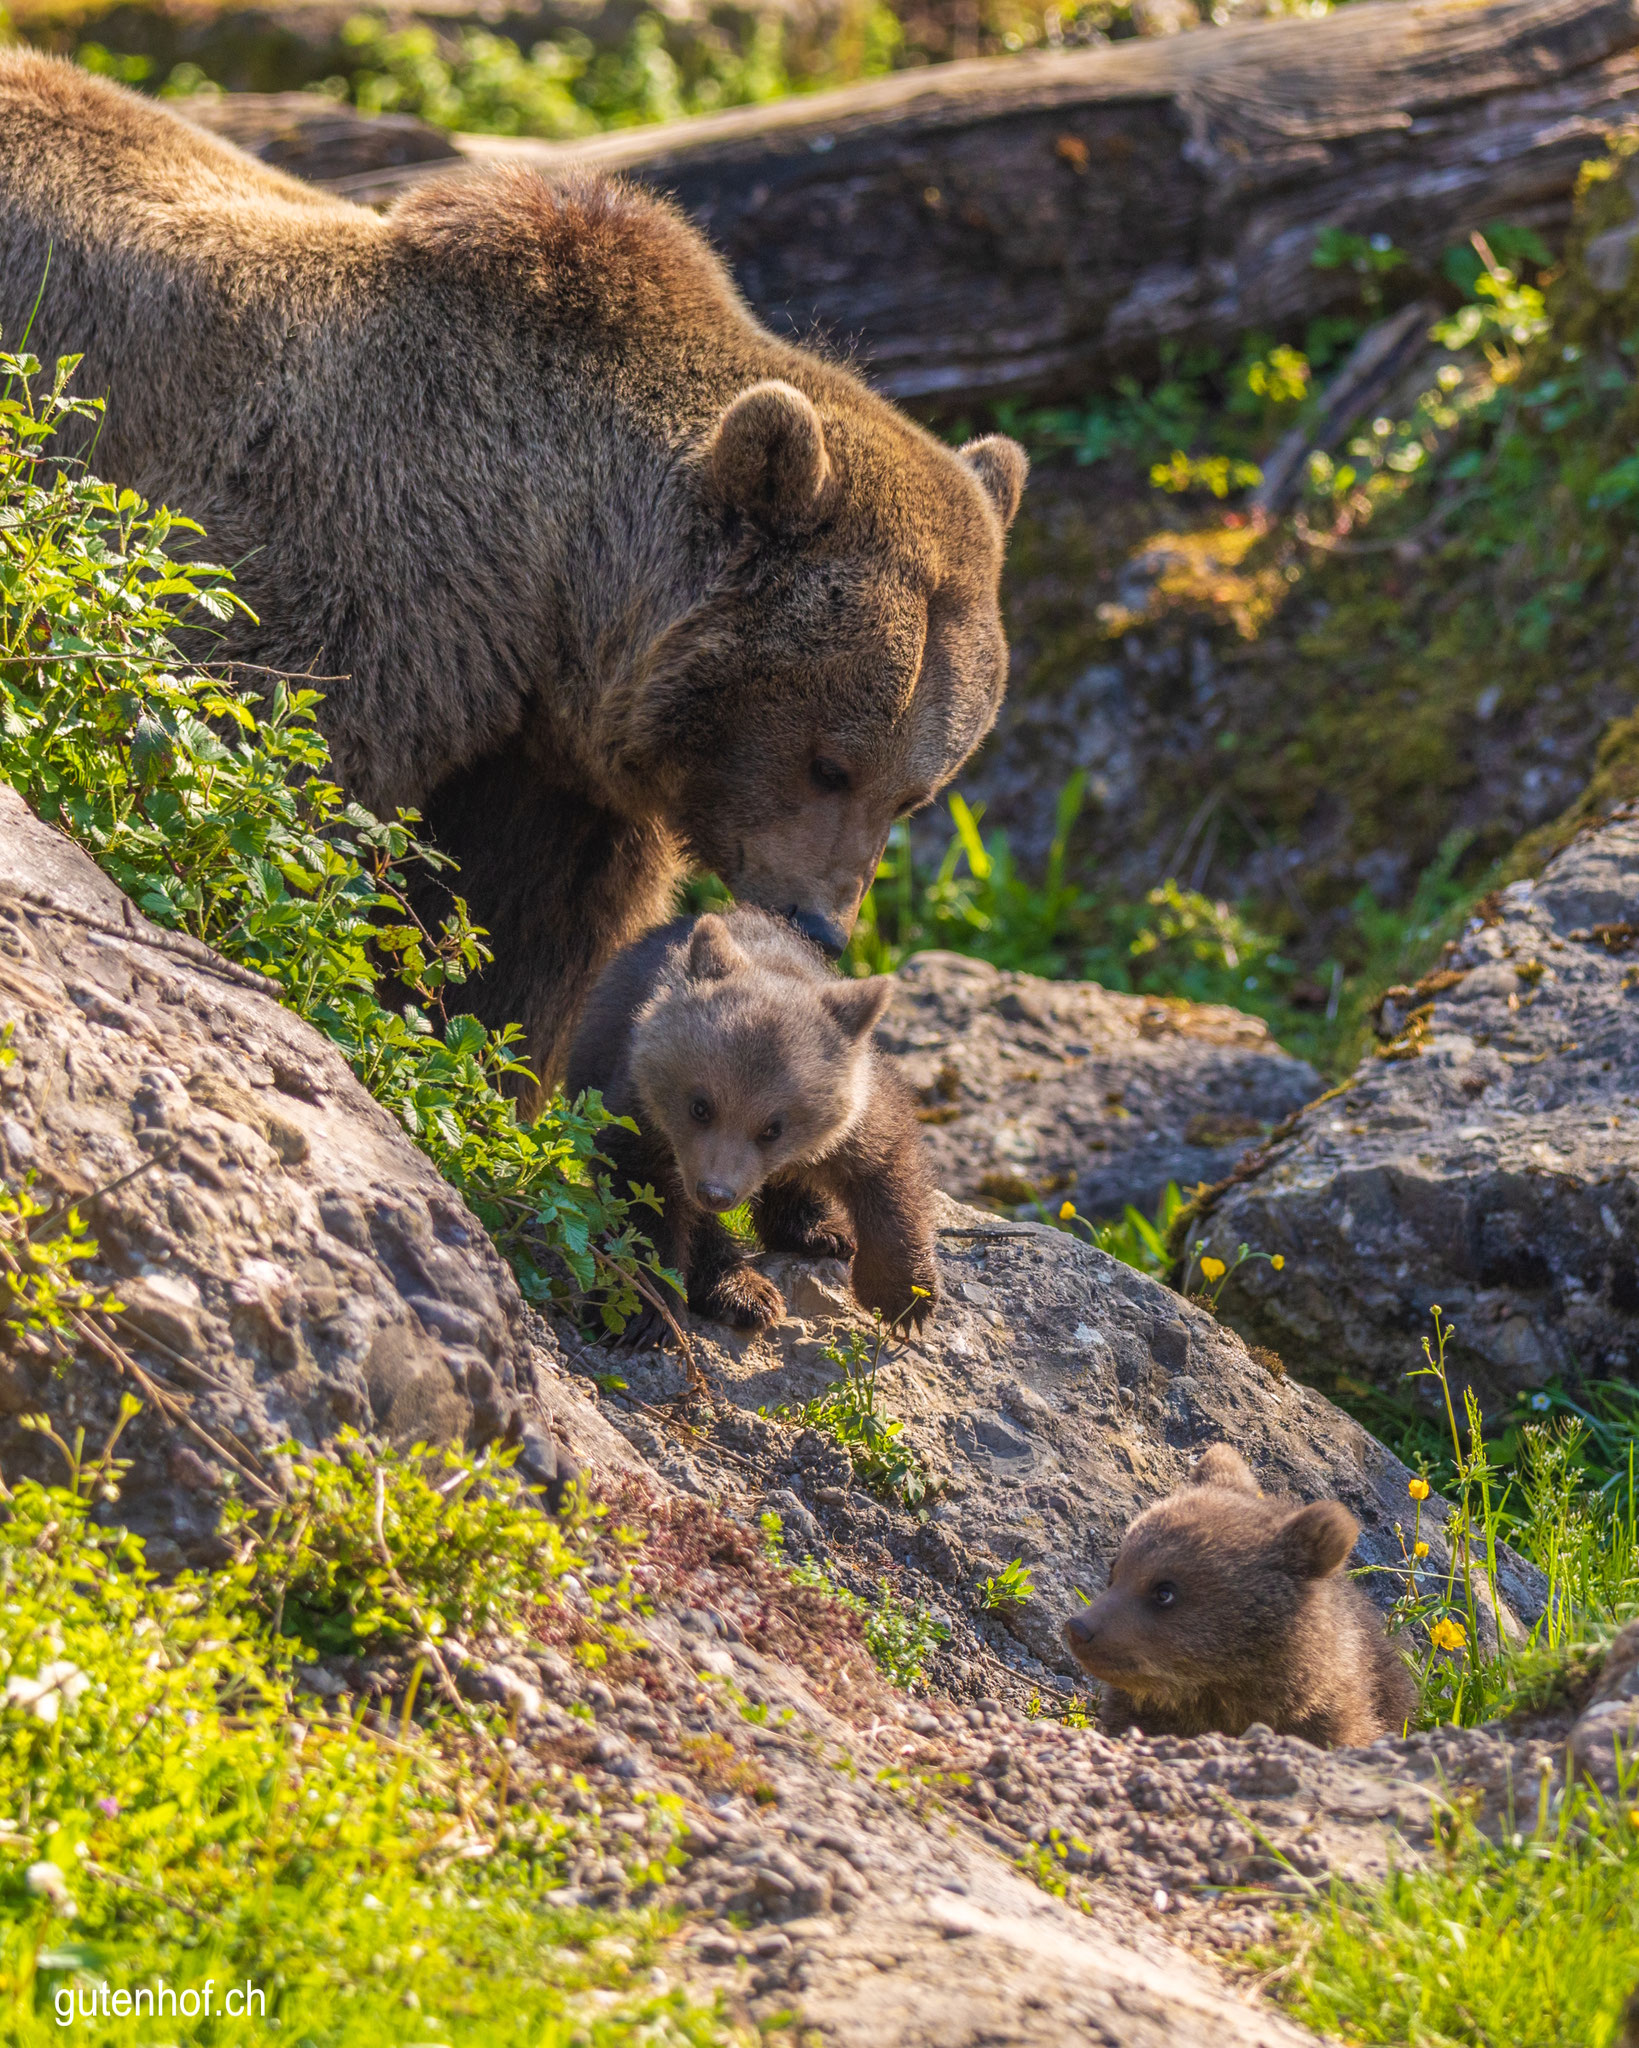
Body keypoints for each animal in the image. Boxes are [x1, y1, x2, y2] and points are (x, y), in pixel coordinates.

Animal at [0, 52, 1027, 1102]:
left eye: (914, 796)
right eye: (830, 763)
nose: (819, 923)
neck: (549, 586)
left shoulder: (552, 774)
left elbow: (516, 948)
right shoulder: (346, 565)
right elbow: (243, 764)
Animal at [566, 906, 937, 1333]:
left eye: (773, 1128)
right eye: (701, 1106)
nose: (716, 1193)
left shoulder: (857, 1113)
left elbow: (888, 1166)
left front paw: (905, 1295)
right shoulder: (638, 1110)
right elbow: (642, 1201)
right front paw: (643, 1312)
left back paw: (819, 1233)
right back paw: (743, 1293)